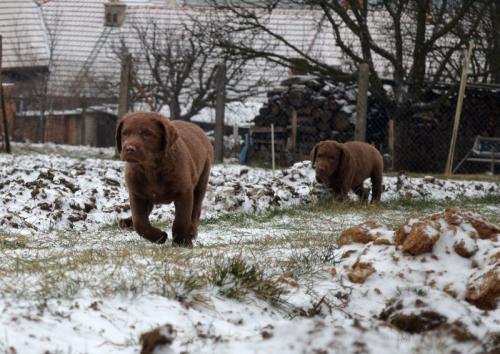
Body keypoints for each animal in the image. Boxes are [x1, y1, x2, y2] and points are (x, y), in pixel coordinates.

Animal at [115, 112, 213, 246]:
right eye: (125, 133)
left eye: (147, 134)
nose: (129, 149)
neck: (151, 169)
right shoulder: (137, 194)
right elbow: (139, 222)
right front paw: (159, 237)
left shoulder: (184, 192)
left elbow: (181, 220)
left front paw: (182, 242)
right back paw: (127, 222)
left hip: (201, 181)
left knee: (195, 210)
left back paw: (192, 232)